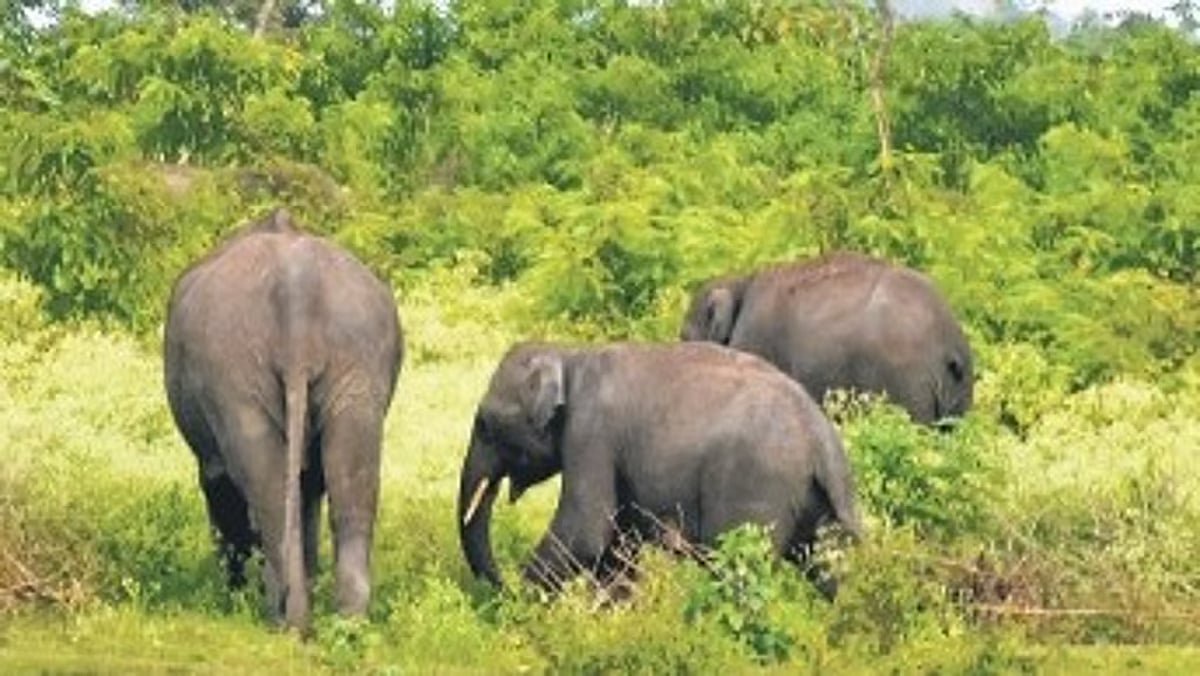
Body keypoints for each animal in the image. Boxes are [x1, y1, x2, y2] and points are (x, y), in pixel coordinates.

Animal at [164, 208, 403, 633]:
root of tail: (297, 287)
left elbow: (219, 486)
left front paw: (235, 597)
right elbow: (311, 486)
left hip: (232, 371)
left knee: (267, 490)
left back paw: (288, 623)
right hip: (358, 361)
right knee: (352, 485)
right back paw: (348, 625)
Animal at [457, 341, 861, 597]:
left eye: (485, 426)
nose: (500, 584)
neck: (570, 353)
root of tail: (819, 438)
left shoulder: (592, 432)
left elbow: (585, 533)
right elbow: (616, 546)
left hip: (756, 487)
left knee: (736, 571)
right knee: (831, 572)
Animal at [681, 252, 973, 426]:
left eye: (684, 337)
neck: (742, 281)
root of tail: (949, 340)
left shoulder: (755, 340)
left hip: (906, 384)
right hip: (958, 393)